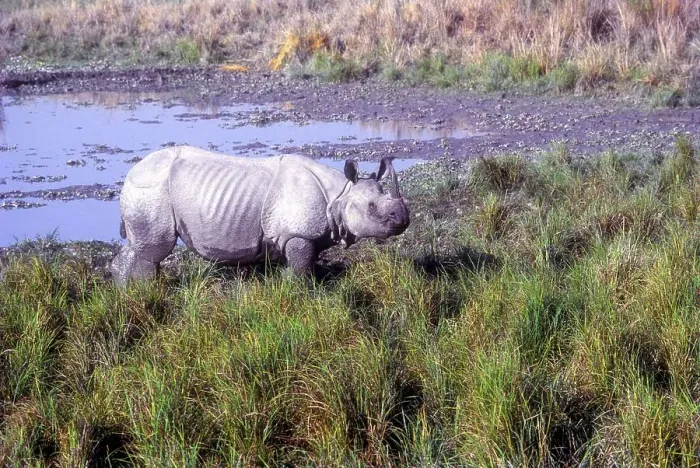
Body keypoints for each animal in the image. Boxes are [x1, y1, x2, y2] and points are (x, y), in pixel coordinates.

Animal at [110, 146, 410, 284]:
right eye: (371, 207)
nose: (403, 219)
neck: (340, 195)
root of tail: (130, 173)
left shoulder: (294, 235)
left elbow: (298, 266)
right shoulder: (296, 233)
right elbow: (302, 269)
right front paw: (304, 294)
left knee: (137, 246)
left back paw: (125, 289)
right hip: (152, 189)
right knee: (154, 251)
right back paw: (146, 290)